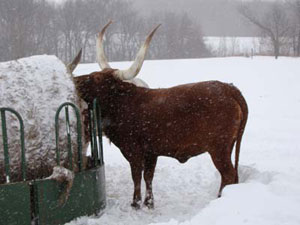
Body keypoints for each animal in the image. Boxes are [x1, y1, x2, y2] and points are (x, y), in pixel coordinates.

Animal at [71, 21, 248, 209]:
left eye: (97, 79)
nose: (75, 80)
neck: (125, 103)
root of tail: (229, 88)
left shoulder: (133, 151)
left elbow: (136, 176)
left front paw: (135, 203)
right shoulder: (151, 152)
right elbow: (148, 176)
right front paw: (149, 202)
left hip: (219, 148)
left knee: (228, 174)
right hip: (228, 146)